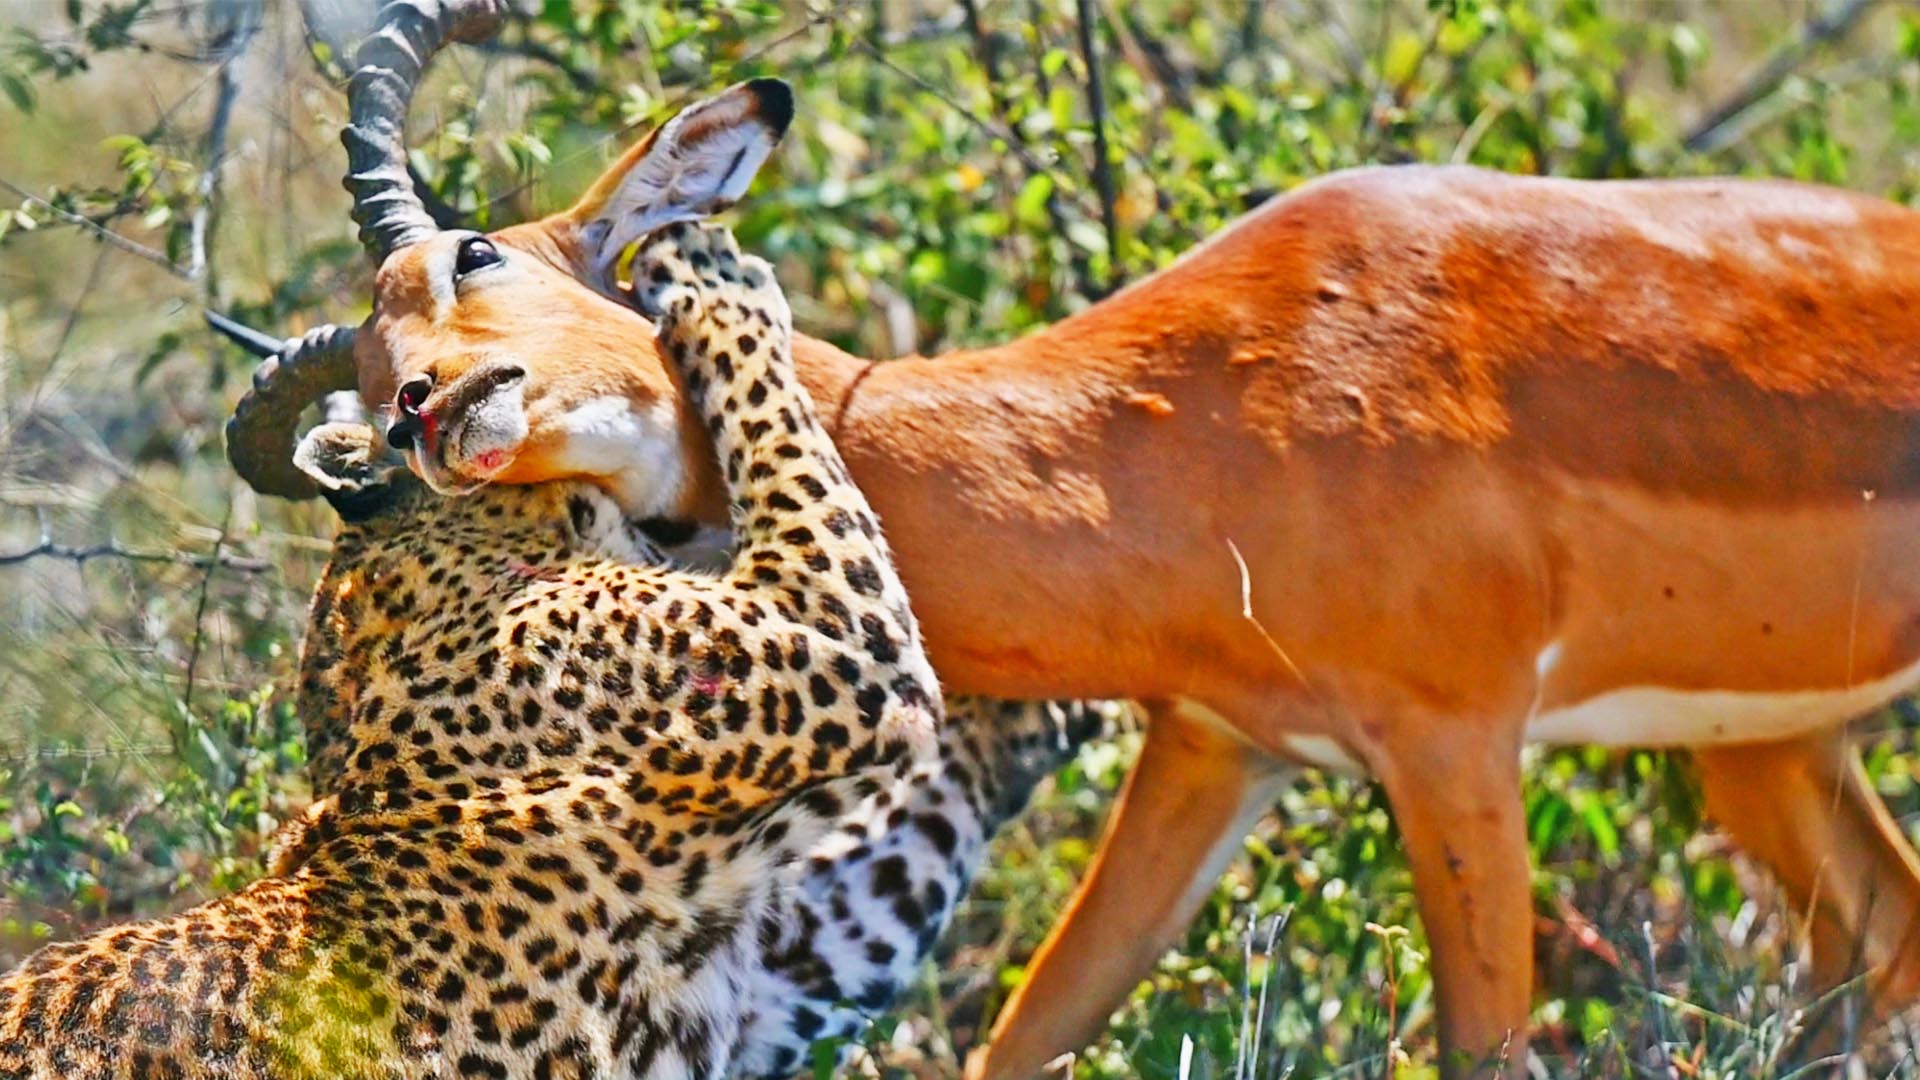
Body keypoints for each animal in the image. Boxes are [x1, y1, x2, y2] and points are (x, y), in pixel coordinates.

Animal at [0, 223, 948, 1079]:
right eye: (390, 417)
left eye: (473, 261)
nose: (420, 404)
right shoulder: (838, 641)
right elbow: (775, 422)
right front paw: (710, 273)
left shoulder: (781, 990)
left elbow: (933, 836)